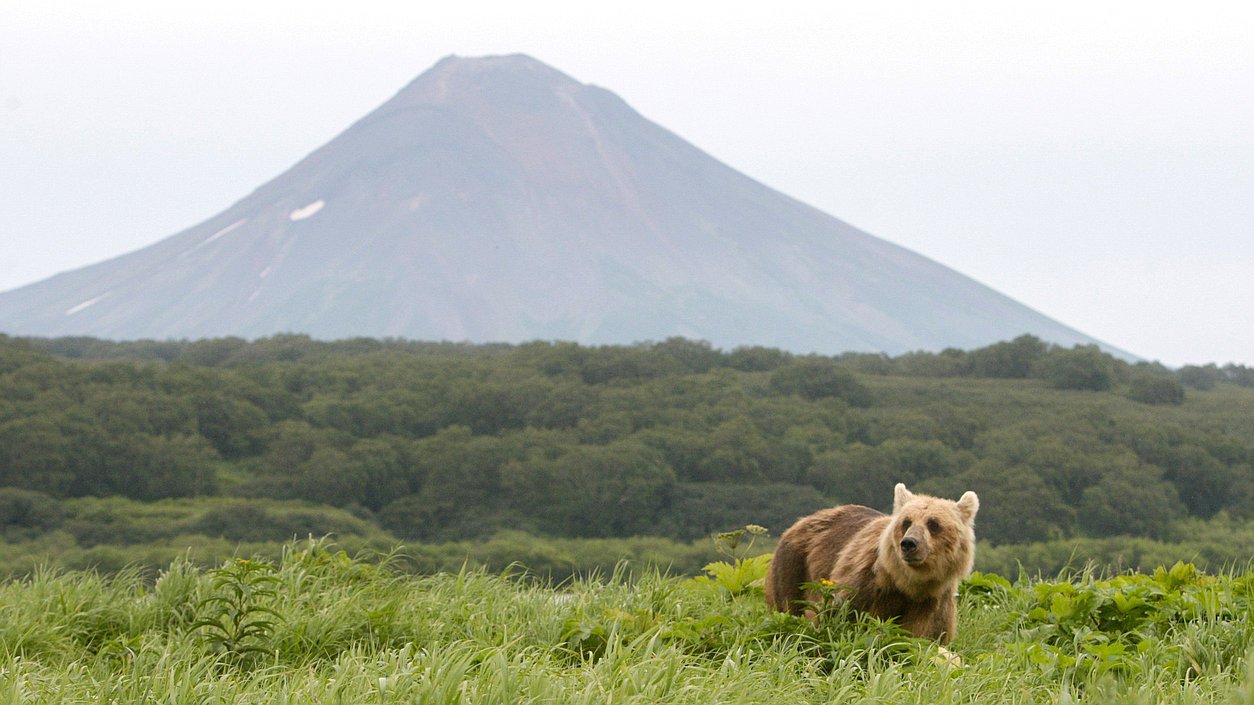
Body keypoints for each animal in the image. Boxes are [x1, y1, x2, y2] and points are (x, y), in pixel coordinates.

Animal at [762, 481, 978, 642]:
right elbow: (835, 620)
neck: (907, 585)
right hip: (794, 567)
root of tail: (801, 520)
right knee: (788, 607)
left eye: (934, 524)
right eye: (906, 521)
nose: (909, 543)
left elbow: (922, 639)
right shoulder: (864, 586)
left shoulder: (932, 604)